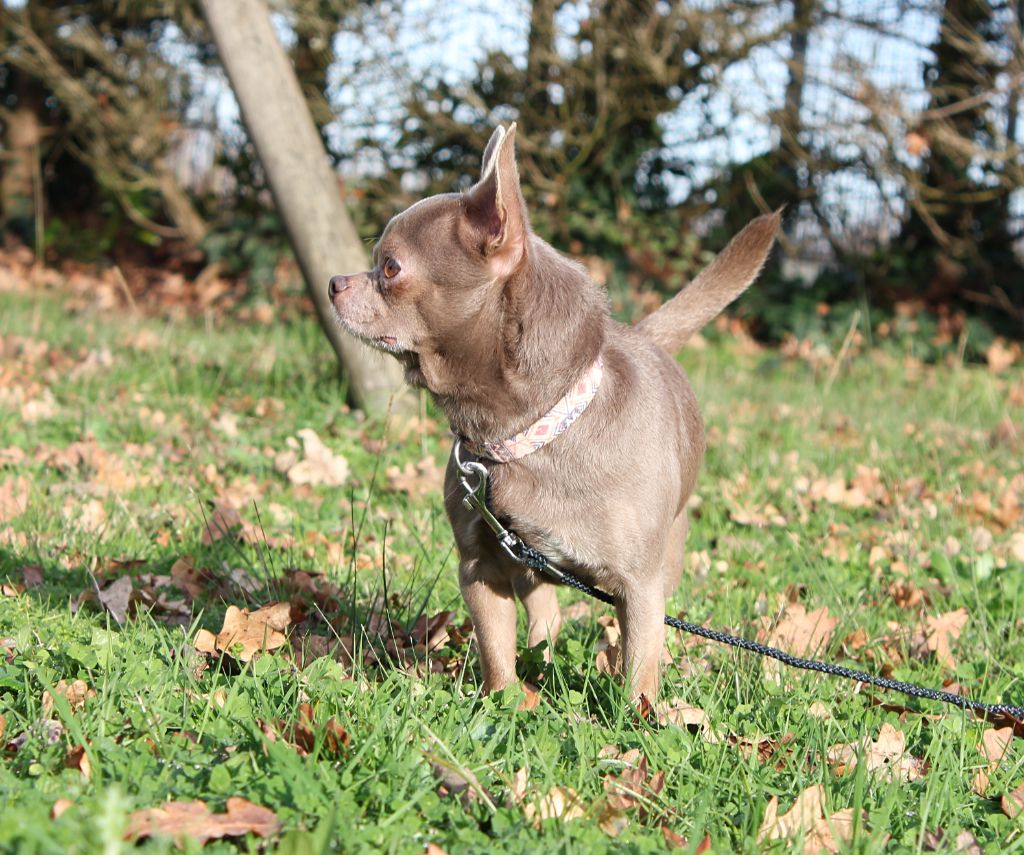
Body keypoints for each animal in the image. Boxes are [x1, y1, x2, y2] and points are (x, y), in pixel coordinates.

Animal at [329, 123, 778, 701]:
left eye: (390, 267)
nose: (334, 282)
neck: (529, 434)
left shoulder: (640, 586)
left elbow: (639, 664)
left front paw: (639, 718)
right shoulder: (481, 568)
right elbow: (495, 648)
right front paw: (505, 702)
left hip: (668, 550)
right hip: (529, 565)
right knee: (544, 613)